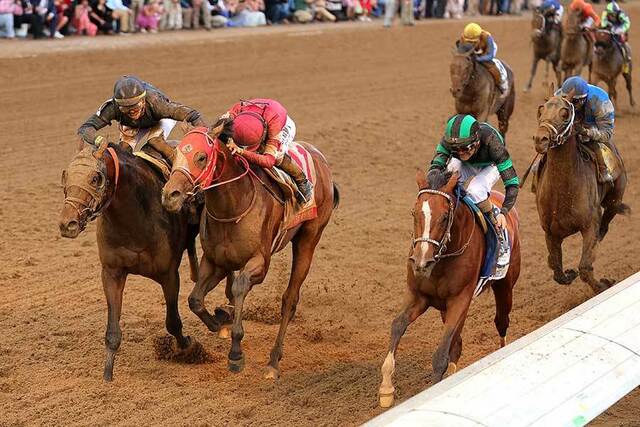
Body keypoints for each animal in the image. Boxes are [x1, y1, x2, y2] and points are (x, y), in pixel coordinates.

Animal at [59, 140, 201, 382]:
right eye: (66, 175)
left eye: (95, 178)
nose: (67, 223)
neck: (133, 220)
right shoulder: (111, 273)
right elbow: (112, 331)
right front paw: (107, 374)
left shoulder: (169, 274)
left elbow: (173, 322)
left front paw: (189, 348)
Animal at [161, 130, 340, 382]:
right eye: (175, 153)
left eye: (201, 157)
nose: (170, 195)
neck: (234, 205)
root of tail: (319, 157)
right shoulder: (214, 261)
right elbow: (195, 299)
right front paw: (219, 324)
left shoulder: (259, 263)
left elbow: (239, 286)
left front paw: (235, 352)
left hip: (309, 239)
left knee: (290, 300)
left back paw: (273, 361)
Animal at [380, 169, 520, 410]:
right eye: (414, 213)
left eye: (445, 217)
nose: (421, 262)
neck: (442, 258)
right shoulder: (420, 296)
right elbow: (397, 325)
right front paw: (386, 388)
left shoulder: (459, 300)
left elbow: (440, 355)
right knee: (458, 343)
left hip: (505, 287)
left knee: (501, 322)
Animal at [532, 85, 628, 296]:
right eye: (541, 110)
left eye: (565, 113)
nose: (540, 139)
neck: (562, 193)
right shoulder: (550, 233)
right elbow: (556, 269)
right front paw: (568, 273)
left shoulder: (590, 225)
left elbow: (584, 268)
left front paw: (604, 284)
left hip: (615, 198)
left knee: (607, 221)